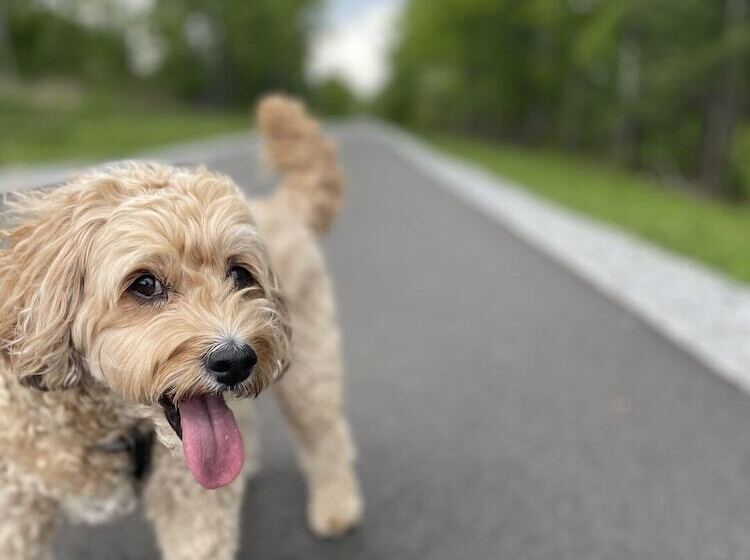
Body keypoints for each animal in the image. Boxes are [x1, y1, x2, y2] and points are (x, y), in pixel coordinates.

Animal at [0, 96, 363, 560]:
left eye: (239, 274)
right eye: (145, 284)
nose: (235, 360)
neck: (104, 422)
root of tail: (282, 207)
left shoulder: (190, 494)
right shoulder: (16, 506)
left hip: (311, 365)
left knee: (326, 434)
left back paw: (336, 508)